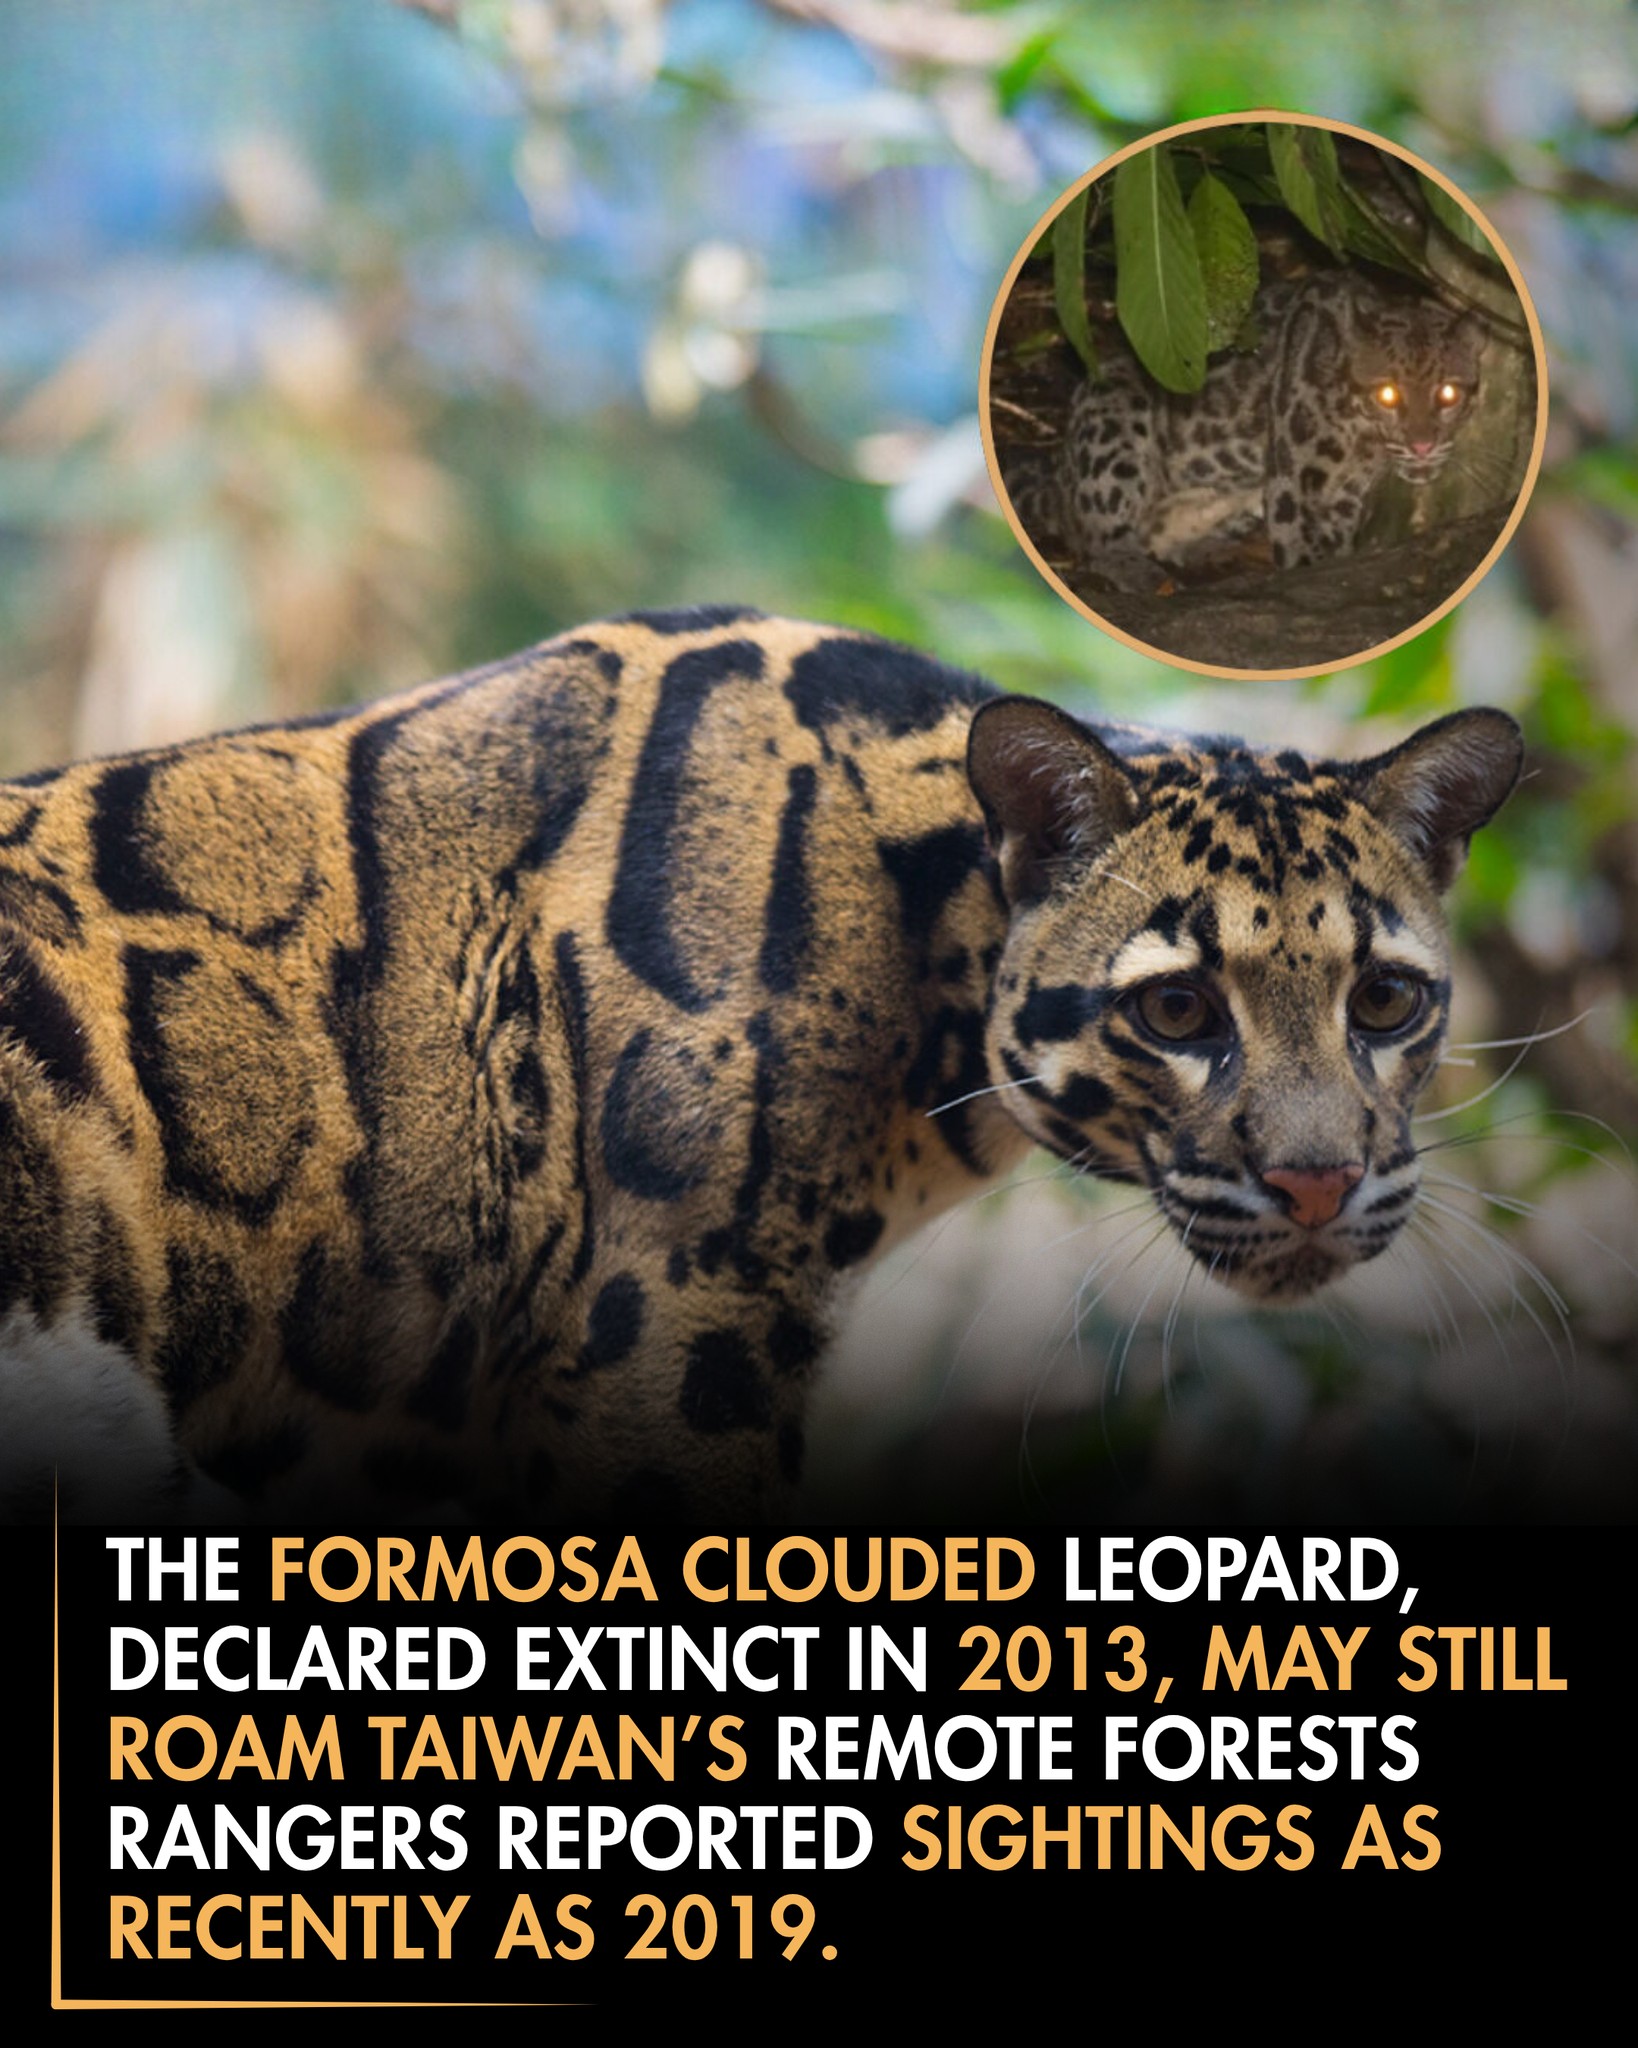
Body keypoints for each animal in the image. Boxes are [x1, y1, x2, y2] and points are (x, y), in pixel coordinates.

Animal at [1003, 272, 1486, 593]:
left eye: (1448, 393)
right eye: (1387, 394)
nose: (1421, 445)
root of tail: (1059, 473)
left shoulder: (1341, 498)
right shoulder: (1296, 482)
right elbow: (1304, 556)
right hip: (1116, 414)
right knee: (1094, 535)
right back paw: (1135, 566)